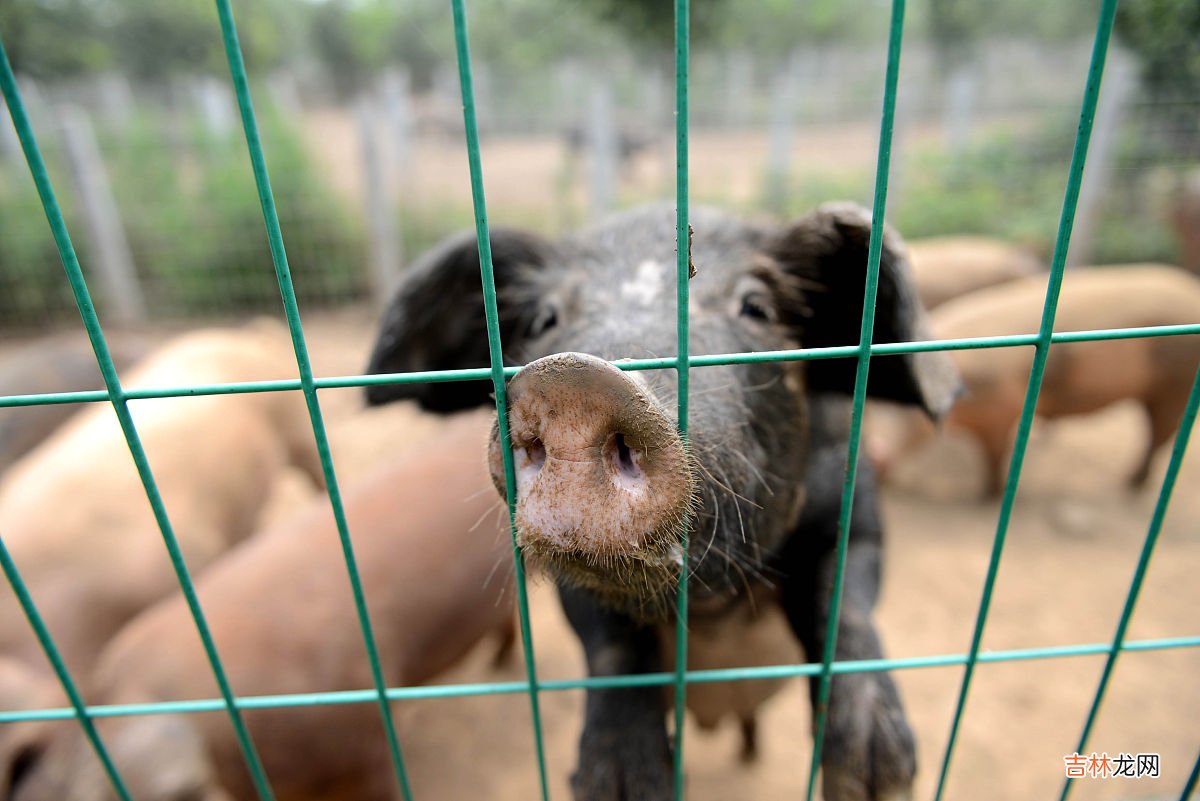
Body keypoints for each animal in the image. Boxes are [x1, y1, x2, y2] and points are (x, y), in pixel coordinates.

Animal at [362, 203, 955, 796]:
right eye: (543, 320)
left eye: (756, 307)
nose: (573, 380)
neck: (712, 604)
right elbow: (613, 642)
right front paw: (620, 785)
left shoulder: (855, 505)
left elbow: (846, 597)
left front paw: (879, 776)